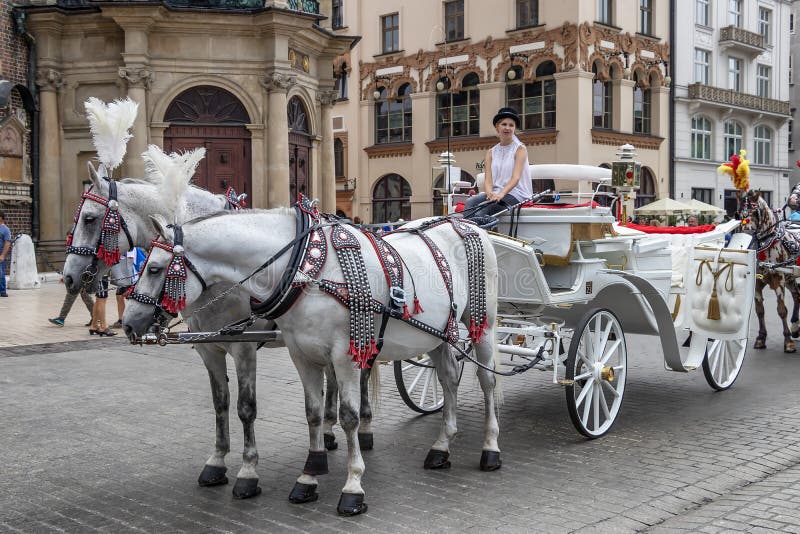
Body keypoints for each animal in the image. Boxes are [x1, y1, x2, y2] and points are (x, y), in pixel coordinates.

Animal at [122, 197, 502, 516]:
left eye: (154, 268)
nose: (128, 323)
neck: (306, 269)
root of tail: (467, 224)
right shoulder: (298, 354)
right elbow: (311, 413)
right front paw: (308, 477)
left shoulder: (337, 355)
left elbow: (344, 417)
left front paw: (352, 486)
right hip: (439, 335)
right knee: (449, 381)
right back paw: (441, 447)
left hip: (483, 324)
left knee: (487, 382)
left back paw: (490, 449)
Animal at [738, 190, 800, 352]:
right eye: (739, 213)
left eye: (755, 212)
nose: (747, 234)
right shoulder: (757, 282)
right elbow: (759, 310)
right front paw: (761, 338)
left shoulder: (778, 278)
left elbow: (782, 310)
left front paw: (788, 342)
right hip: (790, 277)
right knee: (797, 295)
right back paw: (795, 326)